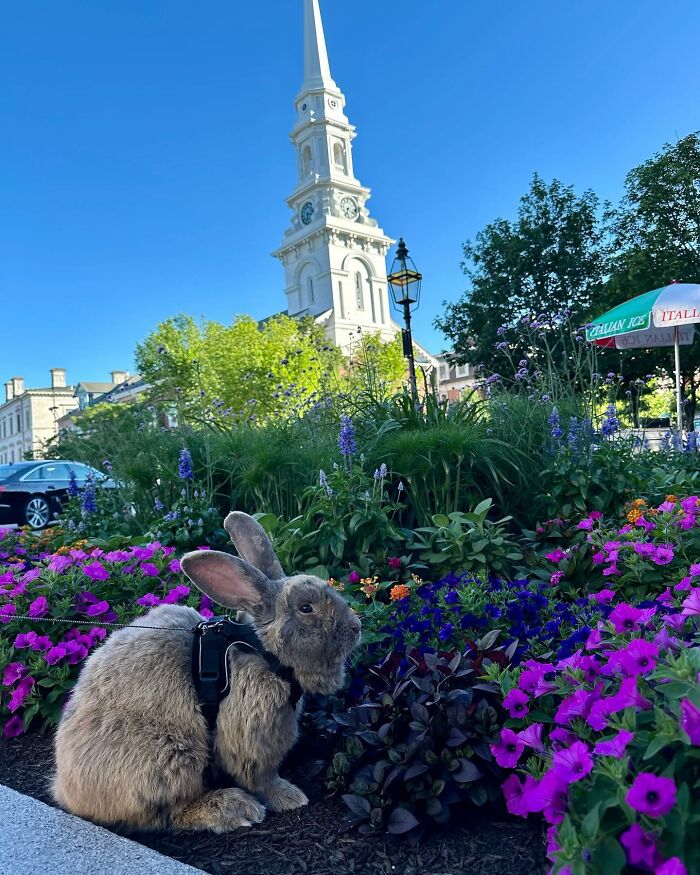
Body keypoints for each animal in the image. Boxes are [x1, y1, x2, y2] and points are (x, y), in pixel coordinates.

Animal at [52, 511, 361, 833]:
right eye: (306, 608)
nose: (356, 628)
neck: (259, 648)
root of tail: (66, 790)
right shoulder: (253, 736)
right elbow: (262, 776)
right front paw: (289, 797)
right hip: (175, 759)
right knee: (170, 813)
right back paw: (233, 808)